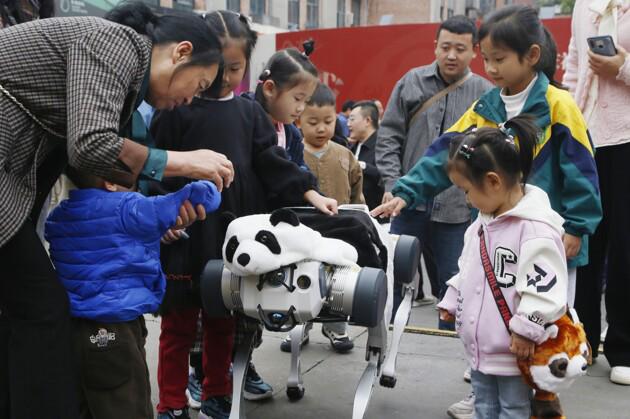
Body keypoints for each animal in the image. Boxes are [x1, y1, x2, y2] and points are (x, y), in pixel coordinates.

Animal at [202, 208, 420, 419]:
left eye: (264, 238)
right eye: (232, 245)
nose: (243, 258)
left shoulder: (370, 295)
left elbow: (376, 350)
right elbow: (244, 352)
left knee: (403, 292)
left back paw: (387, 372)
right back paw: (294, 381)